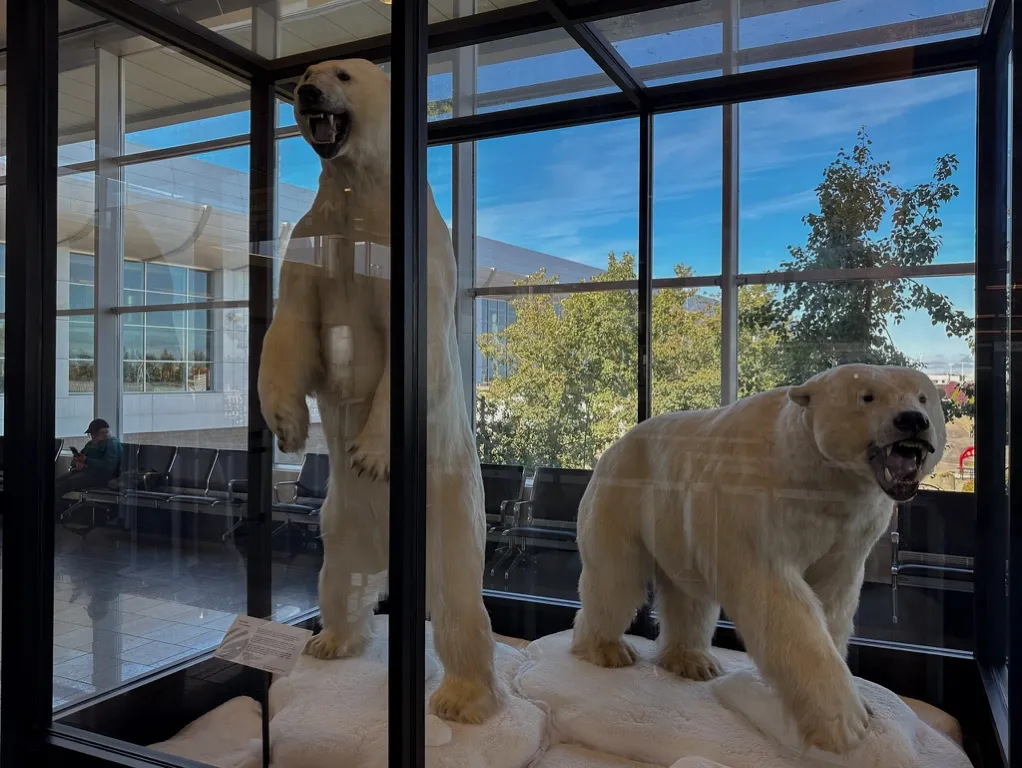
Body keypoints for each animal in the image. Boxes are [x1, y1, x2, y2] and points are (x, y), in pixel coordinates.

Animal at [259, 60, 498, 728]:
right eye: (307, 71)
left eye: (342, 75)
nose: (306, 91)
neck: (361, 200)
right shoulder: (314, 240)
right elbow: (290, 327)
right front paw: (287, 424)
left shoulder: (411, 256)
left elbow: (413, 356)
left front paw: (368, 452)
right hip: (337, 522)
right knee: (341, 581)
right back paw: (330, 640)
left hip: (448, 513)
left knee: (459, 603)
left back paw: (462, 697)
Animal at [572, 364, 944, 752]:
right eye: (867, 396)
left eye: (923, 398)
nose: (912, 421)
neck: (817, 478)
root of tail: (615, 445)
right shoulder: (755, 509)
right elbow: (781, 604)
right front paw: (845, 723)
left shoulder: (853, 531)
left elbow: (834, 600)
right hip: (622, 495)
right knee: (615, 578)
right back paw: (607, 649)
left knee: (688, 596)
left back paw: (693, 661)